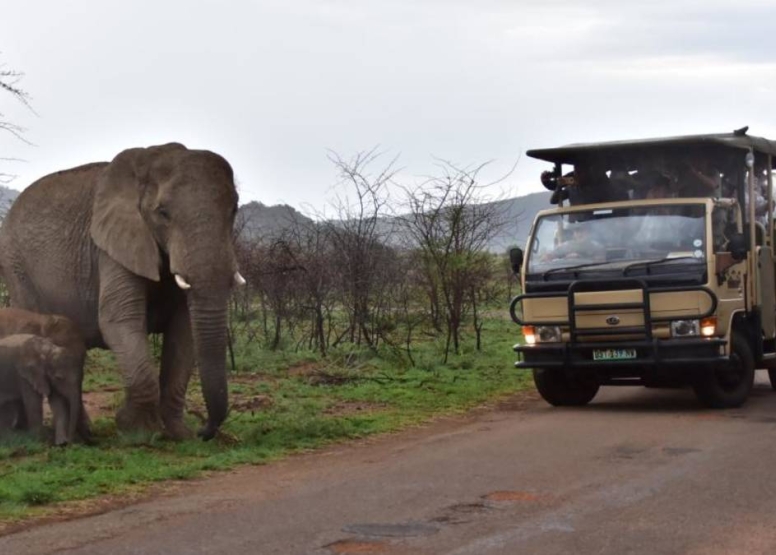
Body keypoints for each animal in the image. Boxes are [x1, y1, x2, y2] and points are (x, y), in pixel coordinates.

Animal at [0, 143, 244, 438]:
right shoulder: (112, 247)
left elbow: (183, 330)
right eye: (163, 213)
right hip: (16, 267)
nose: (203, 430)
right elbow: (121, 319)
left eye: (234, 210)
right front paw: (136, 431)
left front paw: (179, 435)